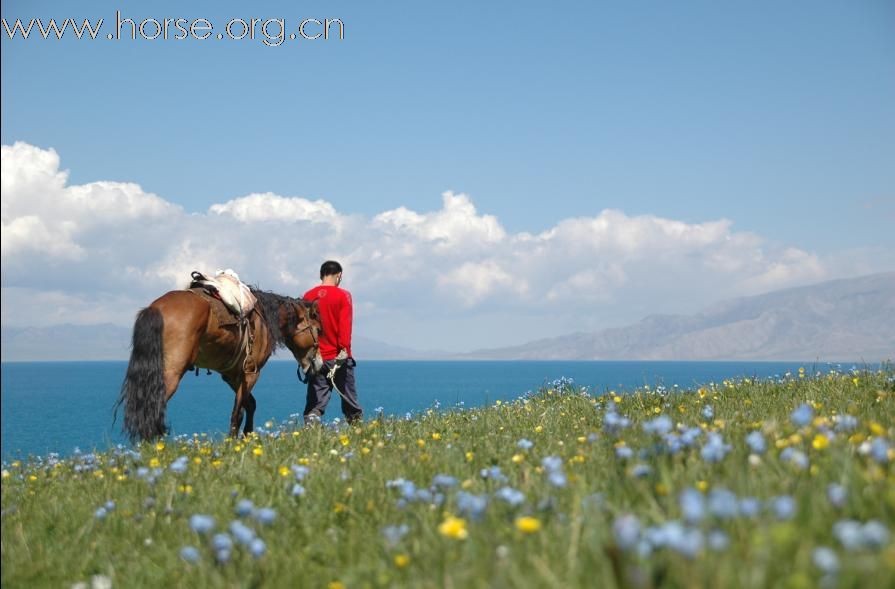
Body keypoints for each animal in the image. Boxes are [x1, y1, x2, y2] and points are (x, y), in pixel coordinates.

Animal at [114, 288, 320, 444]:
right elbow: (238, 412)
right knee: (153, 407)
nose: (318, 363)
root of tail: (155, 308)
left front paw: (246, 437)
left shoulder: (232, 375)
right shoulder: (251, 373)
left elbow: (249, 405)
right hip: (170, 375)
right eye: (318, 329)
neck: (263, 319)